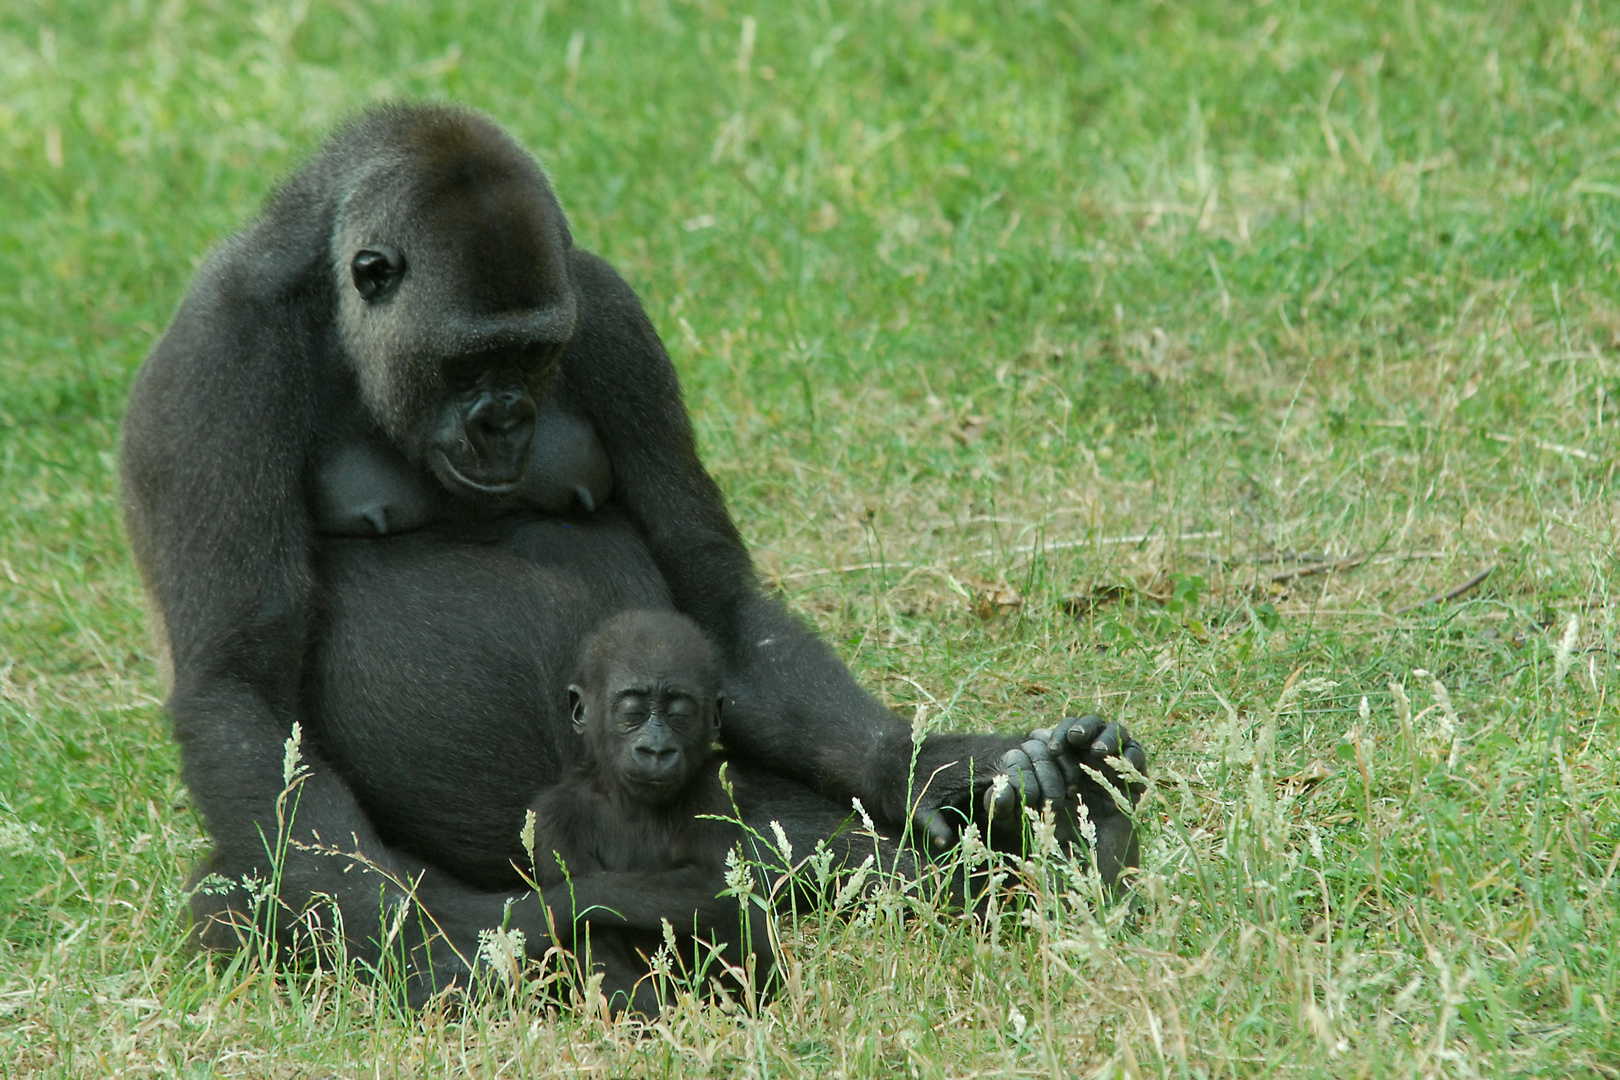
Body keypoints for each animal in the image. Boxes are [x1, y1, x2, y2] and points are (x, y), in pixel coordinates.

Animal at [521, 612, 767, 1016]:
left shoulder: (717, 785)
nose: (656, 750)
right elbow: (595, 945)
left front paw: (551, 907)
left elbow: (716, 886)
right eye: (632, 714)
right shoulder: (552, 814)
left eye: (679, 715)